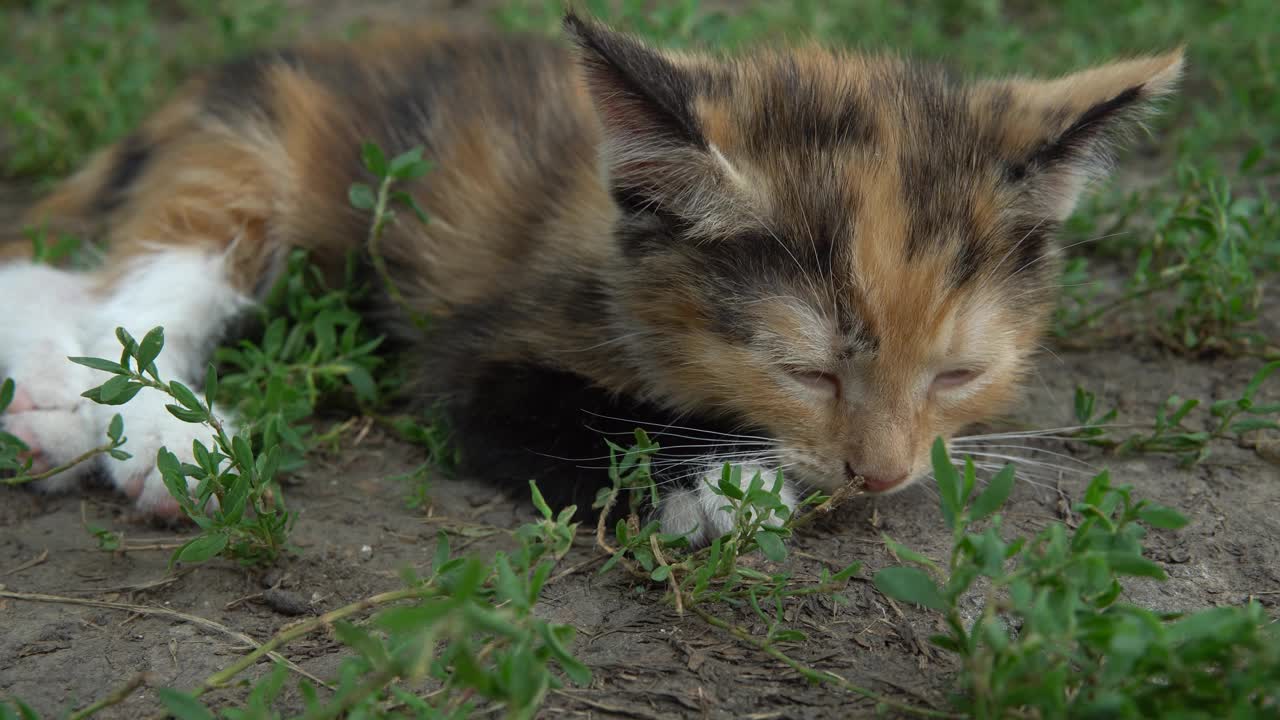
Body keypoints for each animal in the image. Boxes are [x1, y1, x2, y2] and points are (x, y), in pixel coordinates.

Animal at [0, 12, 1182, 543]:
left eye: (956, 376)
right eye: (805, 372)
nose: (880, 477)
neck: (614, 249)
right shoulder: (477, 349)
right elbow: (554, 413)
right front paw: (728, 485)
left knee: (55, 281)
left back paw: (44, 417)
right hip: (251, 159)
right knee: (138, 297)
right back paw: (166, 444)